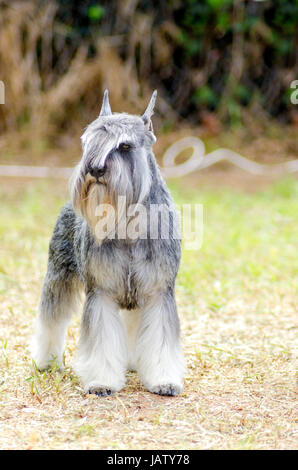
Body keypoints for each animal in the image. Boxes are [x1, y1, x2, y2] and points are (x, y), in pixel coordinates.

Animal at [30, 89, 184, 396]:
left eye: (124, 146)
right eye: (87, 142)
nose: (94, 168)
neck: (127, 223)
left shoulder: (158, 293)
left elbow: (160, 339)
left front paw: (164, 379)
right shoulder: (100, 292)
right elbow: (101, 341)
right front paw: (101, 381)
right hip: (58, 277)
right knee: (51, 318)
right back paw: (46, 361)